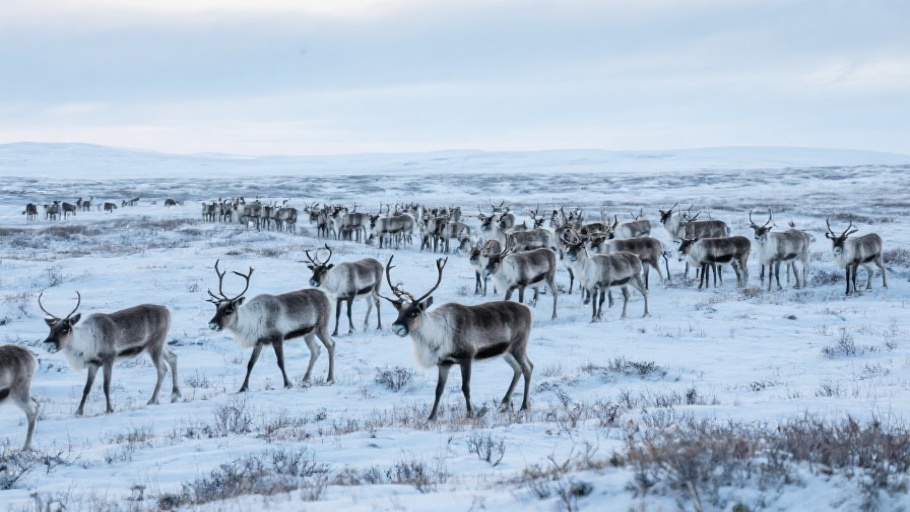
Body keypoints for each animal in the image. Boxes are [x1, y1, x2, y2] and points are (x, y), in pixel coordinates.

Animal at [39, 292, 179, 416]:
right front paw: (78, 412)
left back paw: (153, 400)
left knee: (162, 369)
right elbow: (86, 388)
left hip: (155, 345)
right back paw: (175, 395)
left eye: (65, 329)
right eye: (51, 329)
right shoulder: (93, 364)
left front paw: (109, 409)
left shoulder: (108, 359)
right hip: (161, 344)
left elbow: (106, 386)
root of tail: (167, 310)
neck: (84, 342)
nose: (48, 345)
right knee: (173, 358)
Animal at [207, 260, 335, 391]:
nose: (212, 324)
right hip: (309, 333)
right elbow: (250, 363)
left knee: (331, 345)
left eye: (229, 311)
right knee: (316, 350)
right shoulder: (259, 341)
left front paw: (287, 384)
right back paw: (305, 379)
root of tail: (326, 296)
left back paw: (330, 378)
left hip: (321, 327)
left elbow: (280, 362)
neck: (250, 321)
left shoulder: (277, 337)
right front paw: (243, 388)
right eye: (217, 309)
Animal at [381, 256, 533, 420]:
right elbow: (438, 390)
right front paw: (431, 417)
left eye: (415, 312)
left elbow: (465, 387)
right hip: (506, 351)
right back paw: (504, 404)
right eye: (399, 311)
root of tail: (528, 310)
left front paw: (470, 414)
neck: (436, 335)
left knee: (527, 368)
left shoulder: (466, 357)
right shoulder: (444, 363)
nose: (396, 327)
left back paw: (524, 406)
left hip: (519, 345)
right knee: (518, 369)